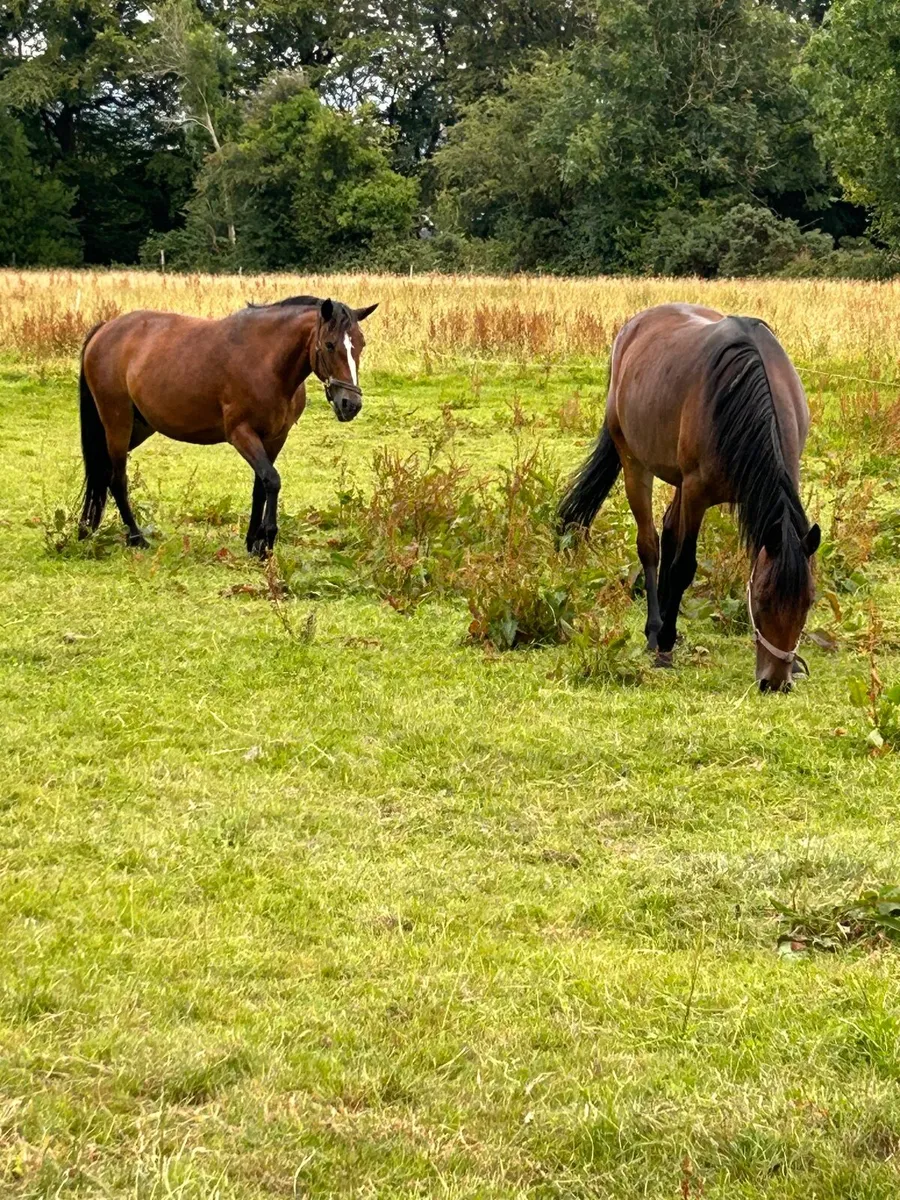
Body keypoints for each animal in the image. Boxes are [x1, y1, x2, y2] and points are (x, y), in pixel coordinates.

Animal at [78, 294, 378, 556]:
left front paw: (254, 542)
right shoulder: (241, 434)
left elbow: (261, 485)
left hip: (138, 428)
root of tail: (105, 329)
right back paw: (136, 538)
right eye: (329, 344)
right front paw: (267, 541)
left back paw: (87, 529)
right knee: (116, 478)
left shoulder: (274, 438)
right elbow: (272, 480)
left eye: (361, 344)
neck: (266, 361)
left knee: (103, 473)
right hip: (118, 423)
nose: (350, 404)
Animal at [559, 303, 820, 693]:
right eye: (760, 600)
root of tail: (633, 327)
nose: (775, 682)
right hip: (635, 462)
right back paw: (656, 630)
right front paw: (665, 645)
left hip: (677, 480)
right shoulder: (697, 492)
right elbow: (684, 565)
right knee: (650, 545)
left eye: (808, 602)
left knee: (668, 532)